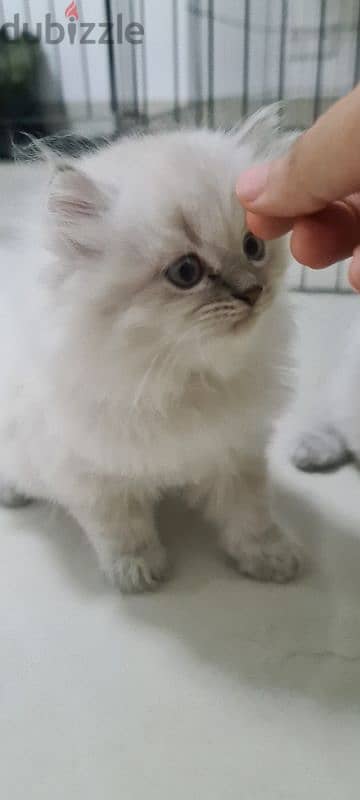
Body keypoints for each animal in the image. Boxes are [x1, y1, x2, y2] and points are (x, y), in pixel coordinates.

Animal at [0, 111, 302, 588]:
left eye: (253, 246)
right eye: (186, 272)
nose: (253, 292)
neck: (180, 377)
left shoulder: (235, 451)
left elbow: (250, 516)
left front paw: (270, 559)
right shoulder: (94, 479)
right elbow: (122, 530)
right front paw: (137, 573)